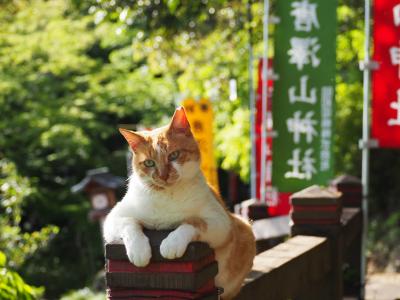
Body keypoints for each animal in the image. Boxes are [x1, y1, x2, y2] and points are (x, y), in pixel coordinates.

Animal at [104, 106, 256, 298]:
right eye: (149, 163)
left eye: (174, 155)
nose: (163, 176)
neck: (166, 196)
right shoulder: (114, 217)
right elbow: (129, 224)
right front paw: (139, 251)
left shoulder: (220, 222)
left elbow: (192, 223)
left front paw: (171, 244)